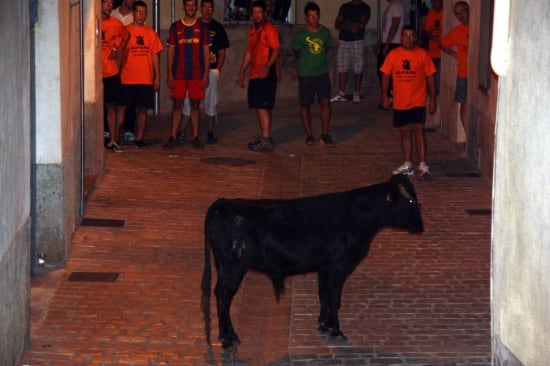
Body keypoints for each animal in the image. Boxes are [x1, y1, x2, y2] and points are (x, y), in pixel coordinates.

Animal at [201, 174, 424, 348]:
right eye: (410, 202)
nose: (421, 226)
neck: (358, 218)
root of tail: (225, 203)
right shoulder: (338, 266)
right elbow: (334, 298)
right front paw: (336, 330)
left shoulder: (324, 268)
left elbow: (324, 295)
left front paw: (324, 325)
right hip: (234, 266)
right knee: (224, 295)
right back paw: (228, 339)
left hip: (223, 266)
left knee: (220, 294)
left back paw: (228, 335)